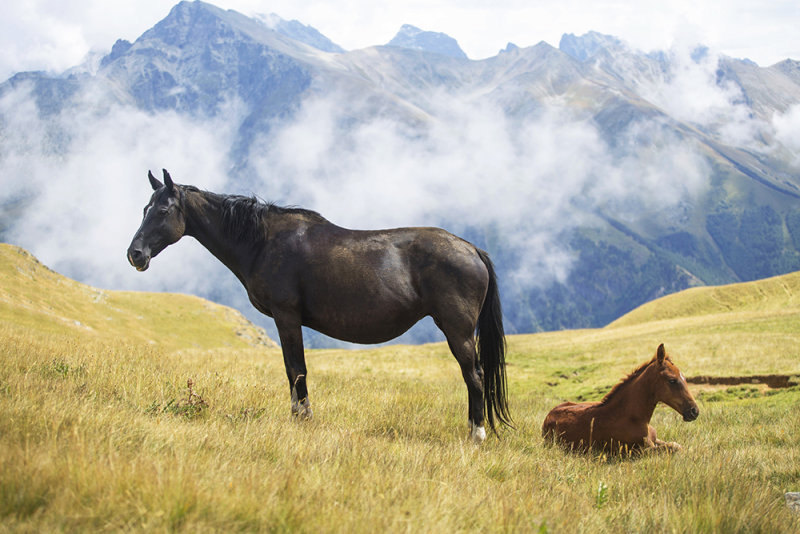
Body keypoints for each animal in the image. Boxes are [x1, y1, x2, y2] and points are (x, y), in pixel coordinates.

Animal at [125, 170, 512, 442]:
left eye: (163, 210)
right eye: (144, 208)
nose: (135, 254)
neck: (262, 241)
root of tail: (471, 248)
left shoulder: (286, 317)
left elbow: (297, 369)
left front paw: (303, 419)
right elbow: (290, 370)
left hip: (458, 330)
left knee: (474, 376)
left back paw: (476, 435)